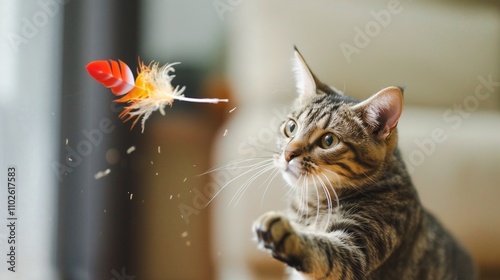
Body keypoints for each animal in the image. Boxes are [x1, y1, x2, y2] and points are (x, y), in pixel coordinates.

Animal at [254, 48, 476, 280]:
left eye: (328, 141)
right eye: (291, 127)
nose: (288, 153)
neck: (313, 203)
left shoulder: (358, 250)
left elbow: (327, 254)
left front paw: (287, 235)